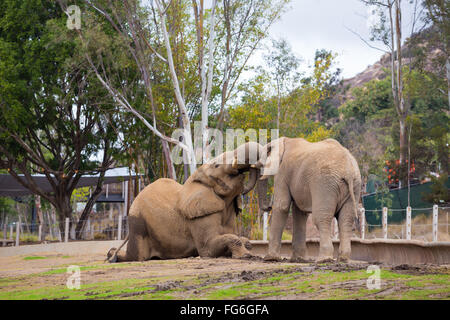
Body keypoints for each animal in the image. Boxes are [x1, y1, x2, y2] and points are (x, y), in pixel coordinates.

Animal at [107, 141, 262, 262]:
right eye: (217, 165)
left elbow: (241, 238)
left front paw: (247, 249)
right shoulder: (198, 215)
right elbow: (209, 248)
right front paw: (246, 256)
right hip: (138, 222)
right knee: (137, 256)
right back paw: (111, 255)